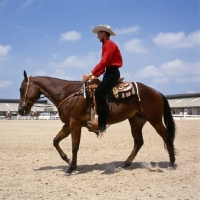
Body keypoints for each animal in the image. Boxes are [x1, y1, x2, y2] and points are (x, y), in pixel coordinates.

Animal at [18, 70, 176, 175]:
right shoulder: (68, 125)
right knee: (139, 142)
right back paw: (126, 163)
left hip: (155, 120)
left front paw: (71, 168)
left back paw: (172, 162)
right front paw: (67, 160)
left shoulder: (75, 124)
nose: (20, 110)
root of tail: (156, 92)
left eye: (21, 89)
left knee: (166, 137)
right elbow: (55, 141)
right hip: (136, 121)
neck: (68, 94)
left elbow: (74, 146)